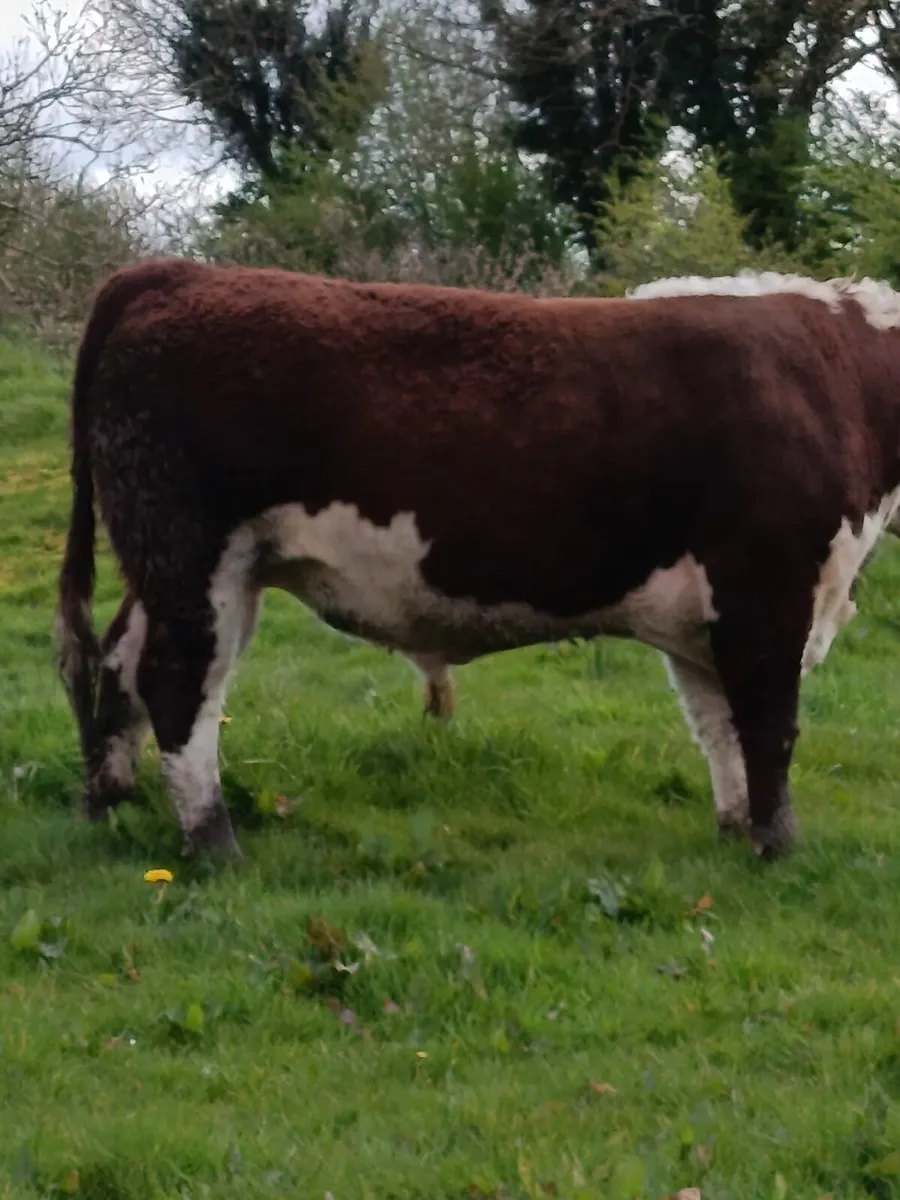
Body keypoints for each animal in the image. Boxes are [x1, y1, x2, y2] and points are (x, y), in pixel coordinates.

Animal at [55, 258, 900, 861]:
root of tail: (174, 272)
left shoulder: (711, 614)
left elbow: (718, 725)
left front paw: (736, 828)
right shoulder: (768, 591)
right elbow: (768, 724)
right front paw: (775, 845)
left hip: (178, 568)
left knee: (121, 663)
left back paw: (111, 798)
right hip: (194, 554)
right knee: (178, 684)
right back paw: (213, 842)